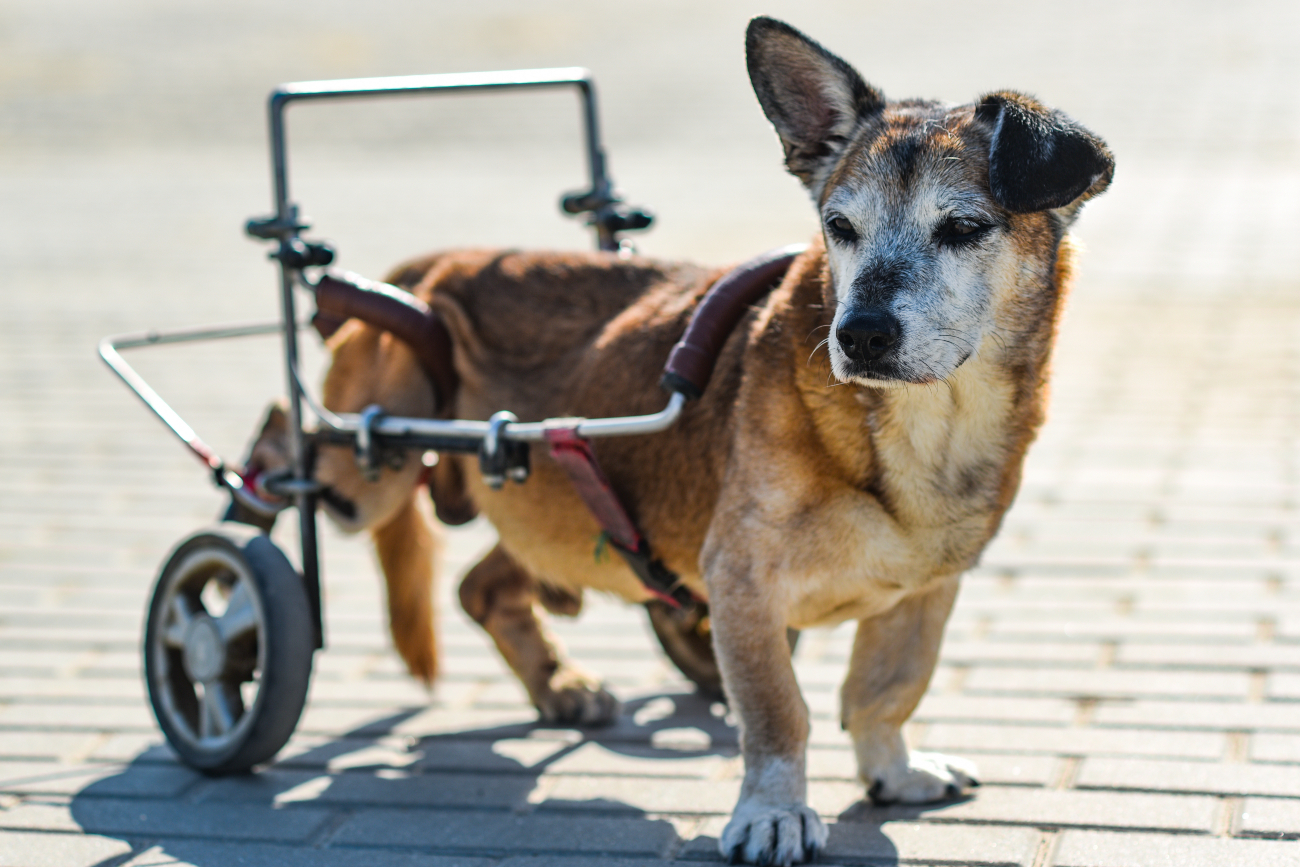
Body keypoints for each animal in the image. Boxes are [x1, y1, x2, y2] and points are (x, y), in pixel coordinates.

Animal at [241, 16, 1107, 863]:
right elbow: (778, 710)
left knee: (480, 585)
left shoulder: (928, 588)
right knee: (293, 445)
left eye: (963, 227)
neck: (924, 423)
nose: (857, 334)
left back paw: (559, 685)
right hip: (371, 461)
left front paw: (891, 770)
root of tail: (433, 266)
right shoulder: (742, 582)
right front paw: (773, 811)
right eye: (838, 227)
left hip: (549, 507)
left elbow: (887, 688)